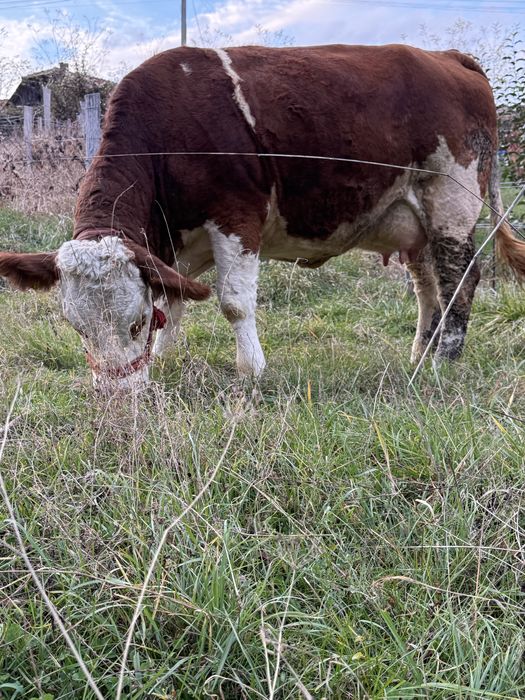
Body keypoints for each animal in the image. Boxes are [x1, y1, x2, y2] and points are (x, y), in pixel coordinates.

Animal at [1, 44, 524, 392]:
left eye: (135, 324)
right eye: (77, 328)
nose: (116, 395)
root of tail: (448, 56)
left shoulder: (236, 216)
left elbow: (233, 302)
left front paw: (251, 369)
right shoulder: (168, 245)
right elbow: (174, 299)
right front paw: (166, 358)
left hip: (450, 200)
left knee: (462, 280)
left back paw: (443, 363)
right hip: (412, 221)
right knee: (428, 287)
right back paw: (419, 355)